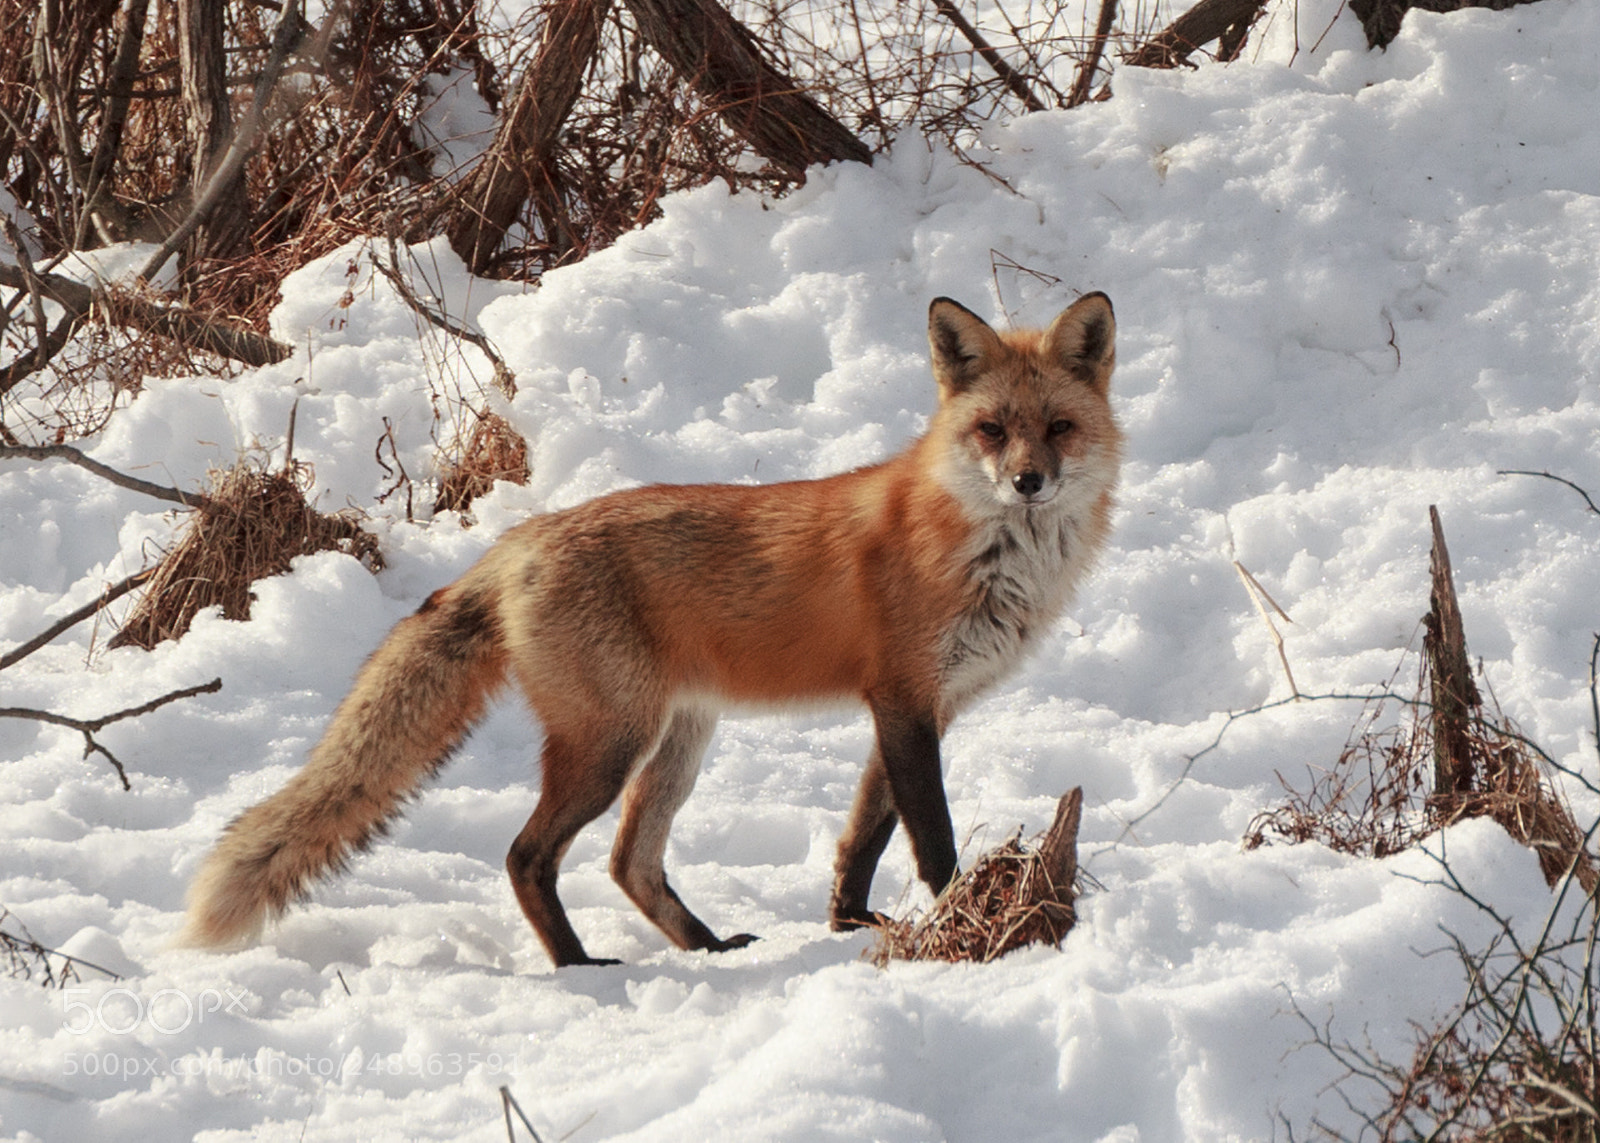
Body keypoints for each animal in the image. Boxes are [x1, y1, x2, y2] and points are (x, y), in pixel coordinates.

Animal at [182, 292, 1123, 968]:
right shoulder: (902, 698)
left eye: (1059, 428)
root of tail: (518, 541)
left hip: (678, 740)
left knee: (628, 862)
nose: (1030, 481)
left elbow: (864, 833)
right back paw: (580, 966)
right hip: (613, 742)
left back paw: (707, 948)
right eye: (992, 430)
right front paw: (972, 918)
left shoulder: (917, 708)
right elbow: (931, 838)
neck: (986, 552)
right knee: (528, 856)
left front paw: (851, 924)